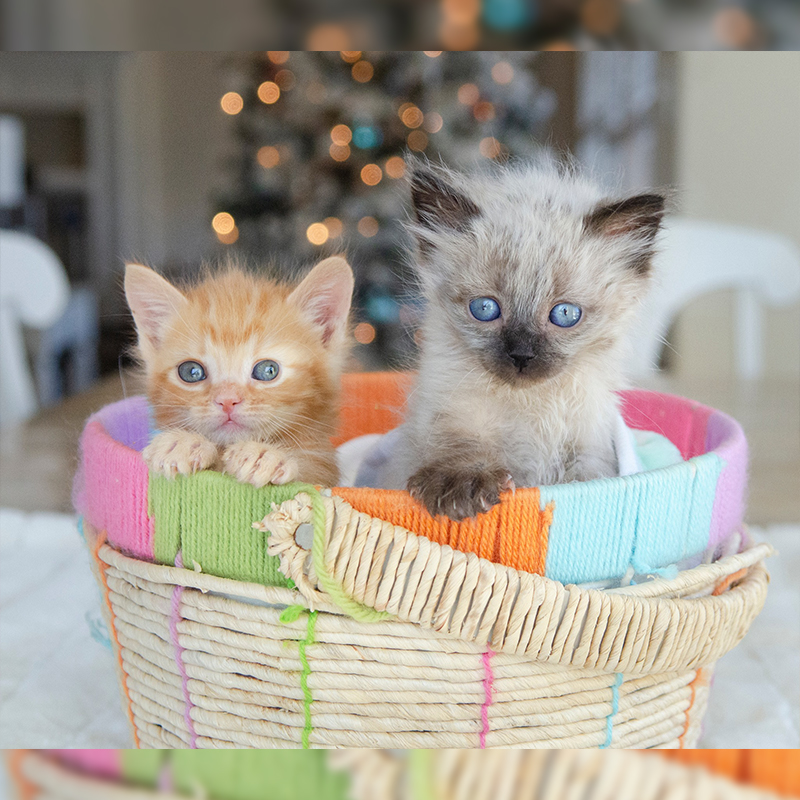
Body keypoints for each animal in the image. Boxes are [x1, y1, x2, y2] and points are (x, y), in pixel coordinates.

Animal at [123, 260, 352, 490]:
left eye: (268, 370)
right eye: (191, 372)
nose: (227, 400)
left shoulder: (324, 469)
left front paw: (265, 455)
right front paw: (182, 443)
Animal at [392, 158, 664, 520]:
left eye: (565, 314)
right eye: (485, 308)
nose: (521, 356)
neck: (532, 411)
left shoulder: (587, 447)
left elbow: (583, 481)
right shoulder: (451, 411)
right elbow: (459, 446)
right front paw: (461, 488)